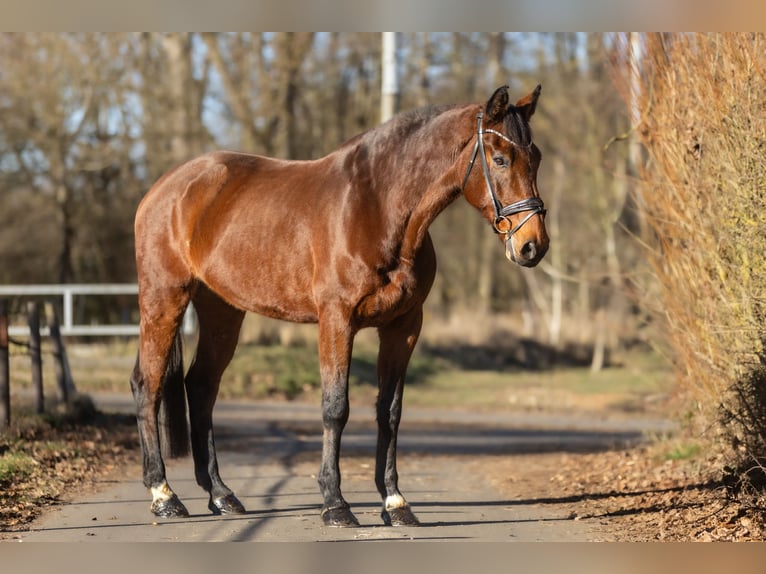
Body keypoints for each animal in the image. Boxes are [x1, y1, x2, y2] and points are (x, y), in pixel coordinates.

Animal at [130, 84, 549, 527]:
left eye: (536, 157)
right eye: (500, 159)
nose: (533, 246)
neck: (377, 208)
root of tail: (165, 187)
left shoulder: (403, 327)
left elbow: (390, 411)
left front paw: (395, 502)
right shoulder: (336, 320)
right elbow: (336, 408)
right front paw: (335, 503)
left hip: (222, 311)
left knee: (201, 386)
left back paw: (221, 494)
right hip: (164, 298)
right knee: (148, 384)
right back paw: (164, 495)